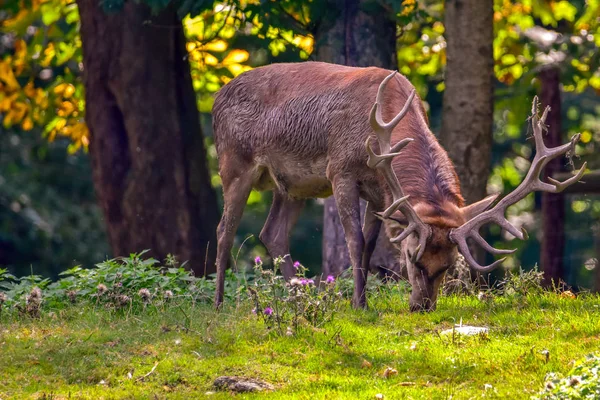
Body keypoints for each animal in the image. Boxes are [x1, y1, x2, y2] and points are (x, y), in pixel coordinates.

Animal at [212, 61, 584, 312]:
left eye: (447, 266)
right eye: (411, 258)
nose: (422, 306)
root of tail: (217, 96)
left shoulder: (382, 194)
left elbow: (369, 244)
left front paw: (361, 299)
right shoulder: (340, 170)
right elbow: (354, 240)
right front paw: (359, 304)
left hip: (293, 184)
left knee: (272, 233)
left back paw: (299, 296)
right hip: (234, 162)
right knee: (224, 230)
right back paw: (217, 303)